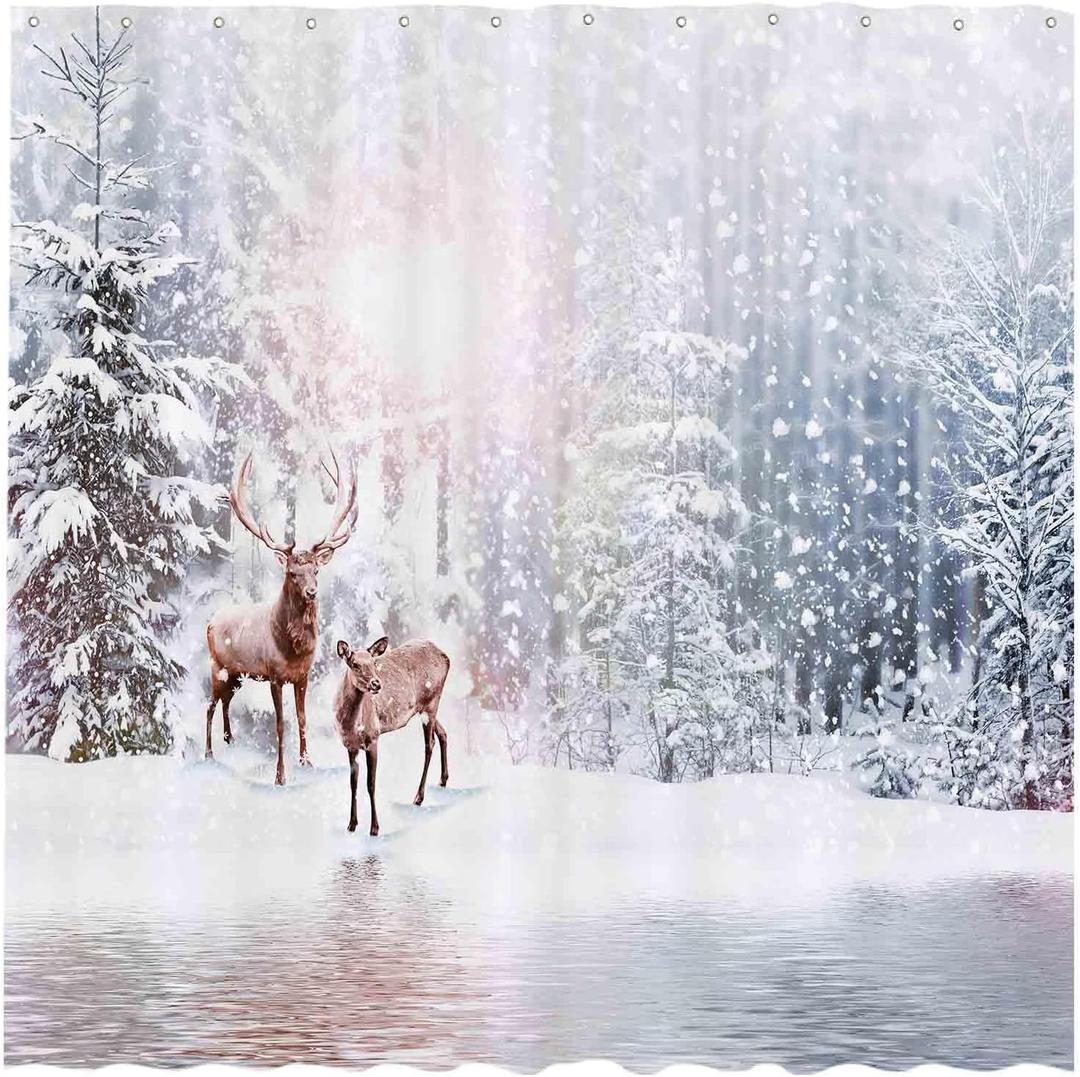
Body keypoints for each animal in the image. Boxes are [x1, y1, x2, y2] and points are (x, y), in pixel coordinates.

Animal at [205, 450, 358, 785]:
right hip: (217, 667)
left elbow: (302, 718)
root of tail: (210, 621)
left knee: (225, 702)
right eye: (292, 572)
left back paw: (229, 741)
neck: (293, 648)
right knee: (209, 705)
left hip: (237, 675)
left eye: (316, 570)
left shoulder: (303, 675)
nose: (312, 591)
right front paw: (280, 776)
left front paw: (307, 762)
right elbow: (280, 724)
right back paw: (208, 754)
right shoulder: (274, 675)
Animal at [333, 636, 451, 836]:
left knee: (429, 744)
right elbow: (353, 783)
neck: (350, 724)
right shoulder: (350, 746)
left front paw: (374, 828)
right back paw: (443, 780)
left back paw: (418, 797)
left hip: (432, 702)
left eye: (373, 662)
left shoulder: (373, 738)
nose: (376, 683)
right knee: (443, 733)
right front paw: (351, 825)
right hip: (424, 708)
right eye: (355, 664)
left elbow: (370, 783)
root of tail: (445, 656)